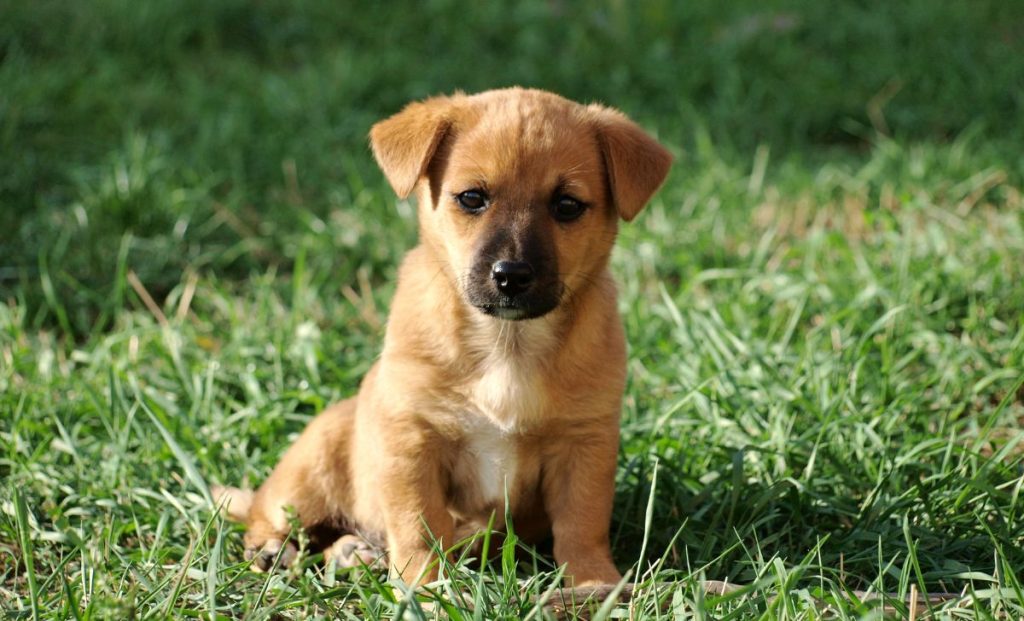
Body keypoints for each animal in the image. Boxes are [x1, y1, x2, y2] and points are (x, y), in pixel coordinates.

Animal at [216, 88, 671, 590]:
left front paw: (594, 583)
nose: (511, 276)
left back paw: (356, 552)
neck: (506, 343)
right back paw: (275, 549)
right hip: (310, 468)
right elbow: (418, 525)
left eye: (567, 205)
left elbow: (582, 523)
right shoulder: (413, 440)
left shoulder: (585, 444)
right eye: (472, 198)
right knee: (268, 513)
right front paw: (425, 588)